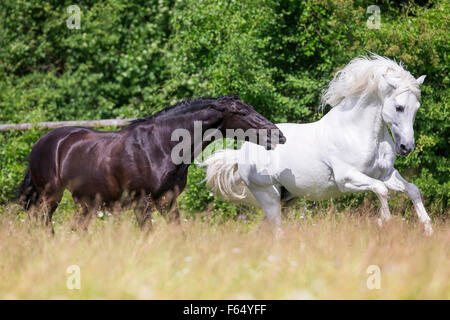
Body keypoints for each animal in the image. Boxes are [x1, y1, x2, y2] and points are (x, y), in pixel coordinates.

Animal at [18, 95, 284, 232]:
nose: (278, 135)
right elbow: (148, 232)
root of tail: (42, 142)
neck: (159, 147)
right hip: (50, 196)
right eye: (243, 112)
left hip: (85, 202)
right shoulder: (141, 199)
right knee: (43, 223)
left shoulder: (167, 199)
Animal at [201, 55, 432, 235]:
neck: (356, 131)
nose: (406, 147)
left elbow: (412, 190)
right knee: (275, 229)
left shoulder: (386, 174)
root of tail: (241, 153)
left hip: (286, 198)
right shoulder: (347, 179)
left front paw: (428, 229)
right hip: (269, 197)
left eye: (417, 107)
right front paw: (383, 222)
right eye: (399, 107)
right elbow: (381, 190)